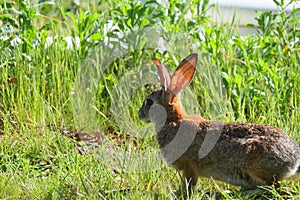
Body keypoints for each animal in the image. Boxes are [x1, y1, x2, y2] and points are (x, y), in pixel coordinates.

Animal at [138, 53, 300, 194]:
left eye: (149, 102)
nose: (140, 114)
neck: (172, 120)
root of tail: (295, 158)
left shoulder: (190, 166)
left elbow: (188, 184)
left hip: (257, 162)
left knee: (274, 188)